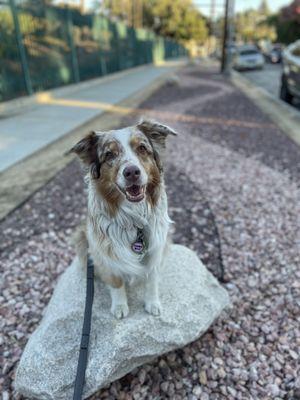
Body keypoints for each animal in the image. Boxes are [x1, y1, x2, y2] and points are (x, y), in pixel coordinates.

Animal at [69, 119, 177, 318]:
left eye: (142, 148)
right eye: (109, 154)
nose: (132, 172)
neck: (135, 218)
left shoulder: (157, 248)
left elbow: (152, 279)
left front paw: (152, 303)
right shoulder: (105, 253)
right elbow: (116, 281)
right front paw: (119, 307)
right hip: (81, 236)